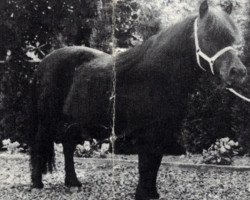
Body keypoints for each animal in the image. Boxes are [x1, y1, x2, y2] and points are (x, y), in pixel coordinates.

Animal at [28, 0, 246, 199]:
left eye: (233, 40)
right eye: (208, 36)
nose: (238, 73)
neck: (156, 75)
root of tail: (43, 62)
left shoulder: (161, 130)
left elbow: (154, 163)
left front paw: (152, 194)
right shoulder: (148, 131)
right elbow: (146, 164)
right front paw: (143, 194)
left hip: (73, 122)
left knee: (68, 146)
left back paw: (73, 182)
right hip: (48, 120)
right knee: (40, 145)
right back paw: (37, 184)